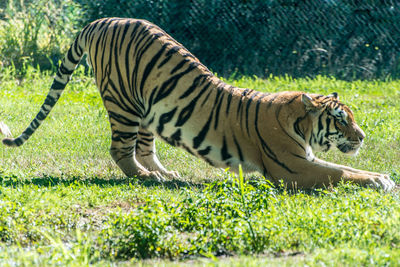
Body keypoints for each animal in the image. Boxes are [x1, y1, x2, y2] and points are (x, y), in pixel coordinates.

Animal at [1, 17, 396, 192]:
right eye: (340, 120)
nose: (362, 137)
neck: (296, 121)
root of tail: (101, 20)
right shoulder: (293, 168)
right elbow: (342, 172)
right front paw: (382, 181)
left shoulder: (307, 160)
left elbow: (347, 168)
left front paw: (382, 176)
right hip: (124, 104)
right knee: (121, 150)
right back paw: (146, 178)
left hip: (147, 110)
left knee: (144, 149)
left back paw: (166, 174)